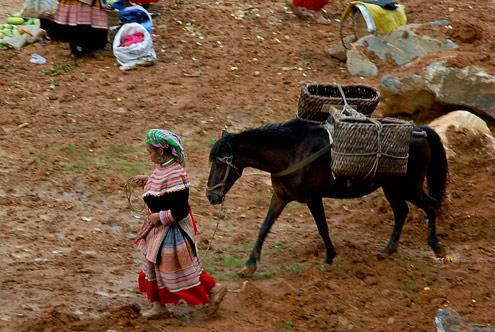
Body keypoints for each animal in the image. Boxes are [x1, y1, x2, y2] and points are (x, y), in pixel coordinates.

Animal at [205, 118, 450, 276]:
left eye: (220, 162)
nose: (211, 196)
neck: (292, 151)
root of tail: (419, 130)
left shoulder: (313, 198)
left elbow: (322, 227)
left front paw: (329, 257)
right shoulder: (281, 197)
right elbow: (264, 227)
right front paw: (249, 265)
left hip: (409, 187)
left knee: (431, 206)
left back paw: (437, 247)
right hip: (392, 188)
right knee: (402, 212)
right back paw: (388, 250)